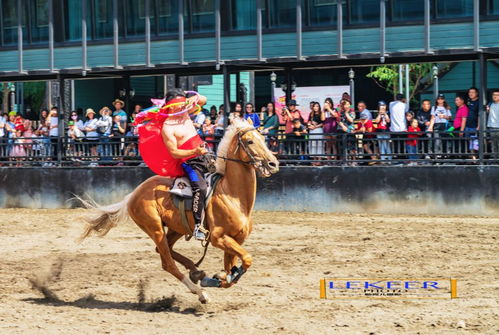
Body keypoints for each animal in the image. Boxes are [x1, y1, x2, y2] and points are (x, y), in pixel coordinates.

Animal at [79, 119, 282, 304]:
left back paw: (197, 271)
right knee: (167, 262)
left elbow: (230, 268)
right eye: (250, 141)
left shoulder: (236, 239)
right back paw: (201, 292)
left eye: (263, 138)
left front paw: (221, 277)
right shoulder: (218, 238)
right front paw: (216, 280)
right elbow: (246, 259)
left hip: (176, 228)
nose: (273, 164)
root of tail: (133, 195)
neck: (231, 195)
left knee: (166, 250)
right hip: (155, 228)